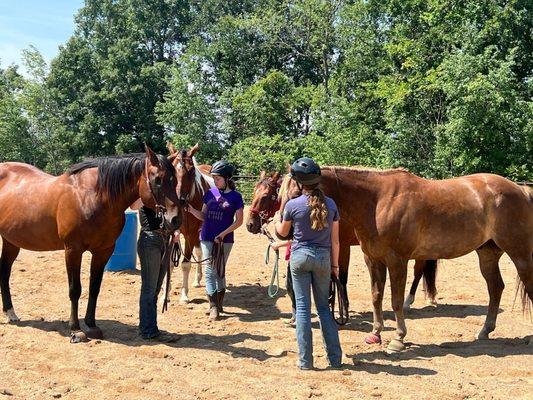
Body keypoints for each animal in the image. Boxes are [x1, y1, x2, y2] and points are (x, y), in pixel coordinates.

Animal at [0, 145, 181, 340]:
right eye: (158, 180)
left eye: (175, 180)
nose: (175, 219)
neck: (91, 197)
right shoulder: (73, 250)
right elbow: (75, 289)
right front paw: (75, 329)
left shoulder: (103, 251)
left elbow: (94, 288)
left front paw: (92, 325)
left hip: (11, 242)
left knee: (5, 272)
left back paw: (11, 313)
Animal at [274, 167, 532, 352]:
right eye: (279, 194)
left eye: (295, 193)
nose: (281, 232)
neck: (377, 201)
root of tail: (520, 190)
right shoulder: (373, 260)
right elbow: (376, 297)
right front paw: (376, 333)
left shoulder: (397, 261)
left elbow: (396, 301)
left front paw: (398, 338)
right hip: (487, 254)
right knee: (495, 288)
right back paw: (485, 331)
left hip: (520, 254)